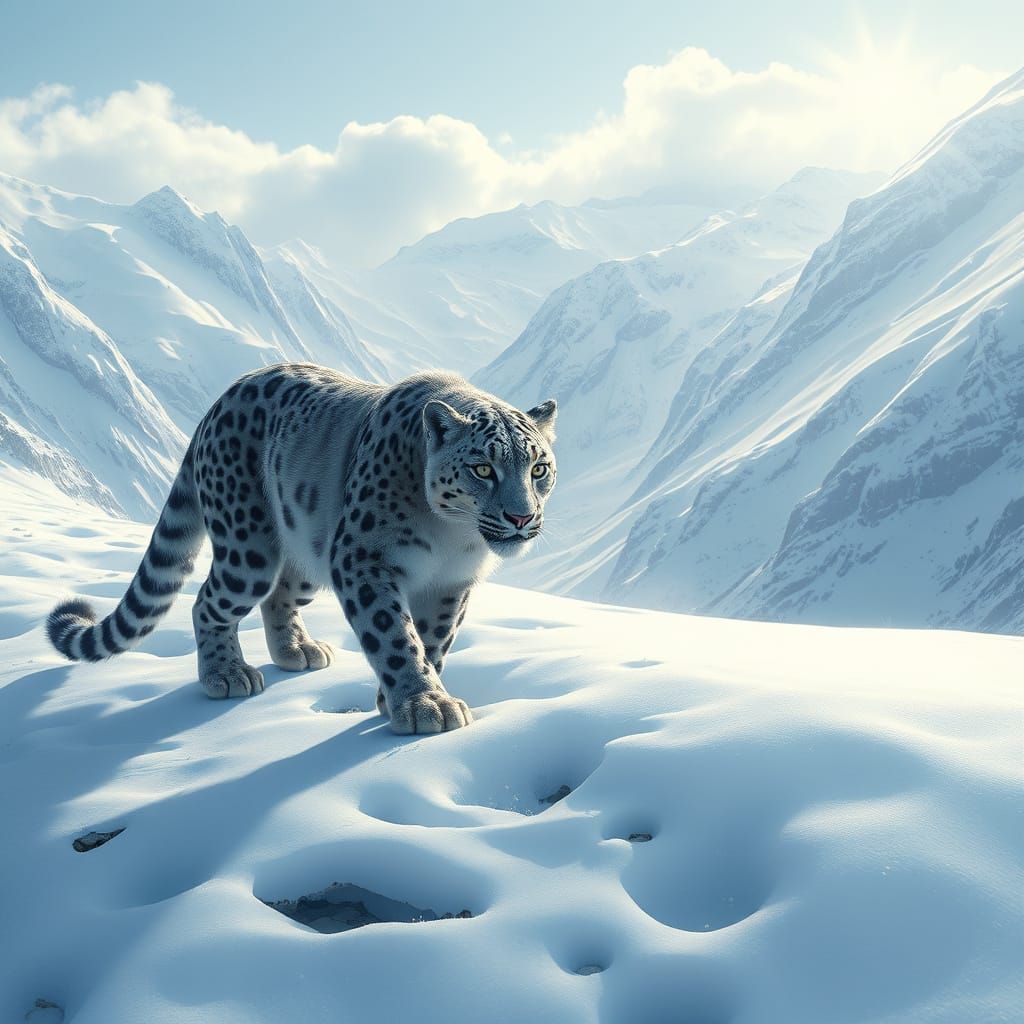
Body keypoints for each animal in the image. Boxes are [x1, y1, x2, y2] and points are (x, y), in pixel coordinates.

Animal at [46, 364, 557, 734]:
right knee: (209, 601)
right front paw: (424, 704)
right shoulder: (363, 560)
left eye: (539, 468)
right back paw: (226, 675)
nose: (521, 517)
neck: (452, 537)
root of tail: (219, 401)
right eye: (483, 468)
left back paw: (296, 650)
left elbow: (433, 640)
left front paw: (401, 698)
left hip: (308, 549)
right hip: (248, 551)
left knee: (279, 595)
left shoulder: (452, 584)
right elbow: (394, 635)